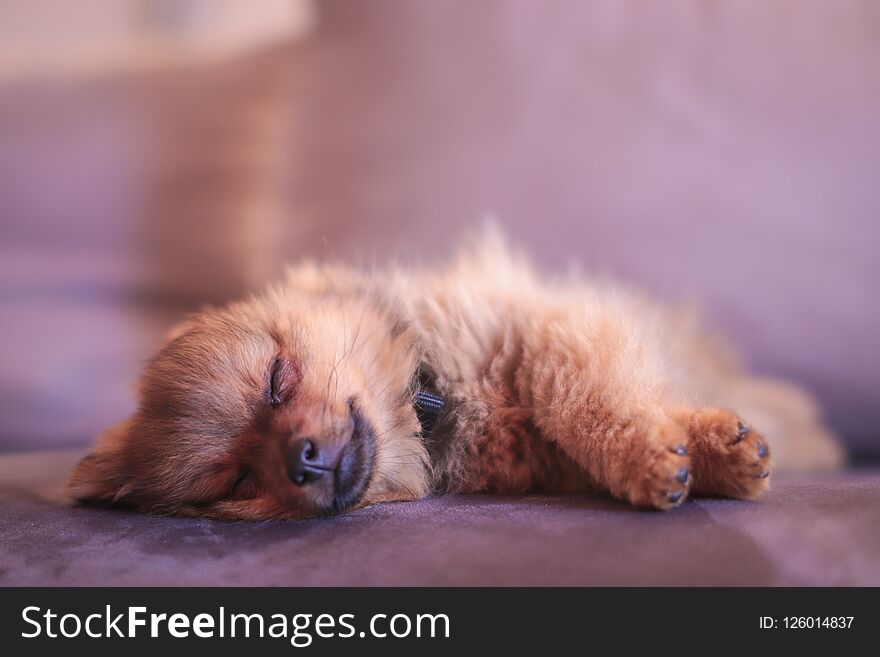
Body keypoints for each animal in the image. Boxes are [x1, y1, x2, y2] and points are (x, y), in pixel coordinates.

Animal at [69, 233, 844, 516]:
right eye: (236, 481)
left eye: (276, 379)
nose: (302, 459)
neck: (433, 399)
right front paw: (691, 455)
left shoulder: (553, 329)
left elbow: (584, 398)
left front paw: (688, 452)